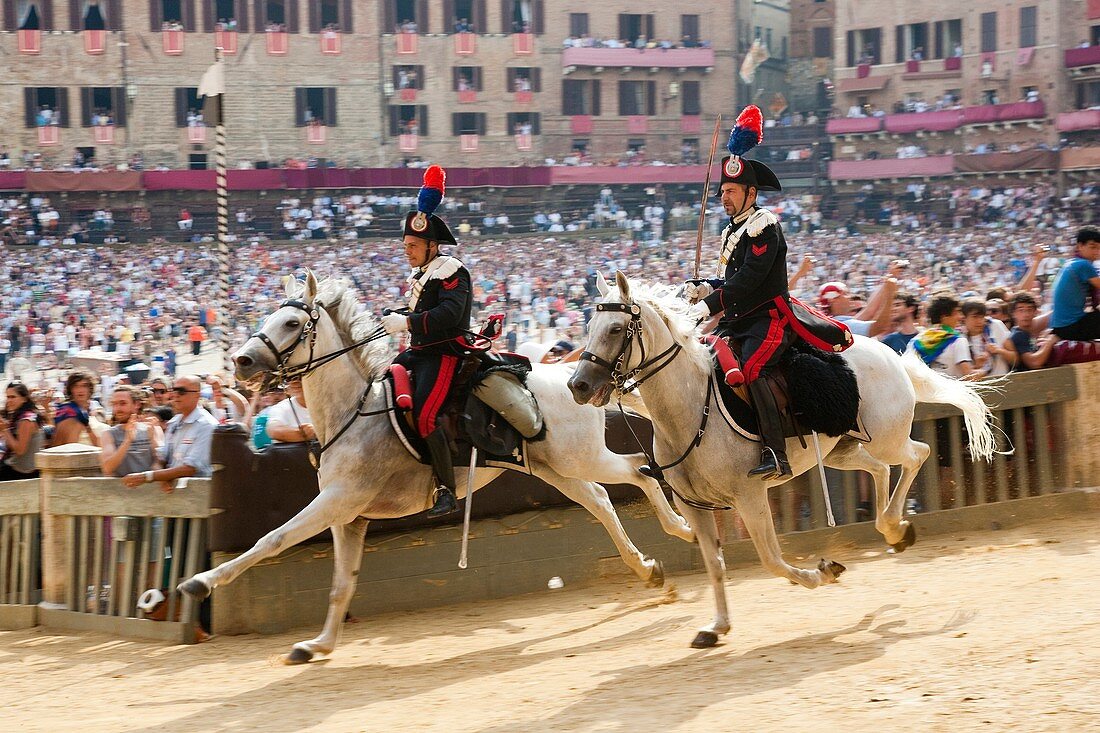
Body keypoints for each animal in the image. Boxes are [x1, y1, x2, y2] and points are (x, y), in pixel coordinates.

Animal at [181, 272, 695, 660]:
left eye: (291, 322)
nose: (241, 361)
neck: (356, 409)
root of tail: (576, 374)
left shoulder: (337, 503)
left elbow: (272, 539)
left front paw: (200, 583)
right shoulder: (349, 518)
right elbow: (341, 584)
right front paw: (319, 645)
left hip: (581, 457)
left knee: (640, 470)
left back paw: (682, 530)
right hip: (558, 470)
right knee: (604, 501)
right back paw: (648, 568)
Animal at [567, 272, 998, 647]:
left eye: (616, 329)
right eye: (589, 328)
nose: (578, 385)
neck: (690, 408)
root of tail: (887, 352)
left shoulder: (750, 497)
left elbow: (771, 560)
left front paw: (822, 573)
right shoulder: (696, 508)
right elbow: (715, 565)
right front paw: (717, 626)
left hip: (887, 438)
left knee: (916, 454)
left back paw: (894, 527)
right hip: (843, 449)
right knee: (878, 469)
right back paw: (893, 529)